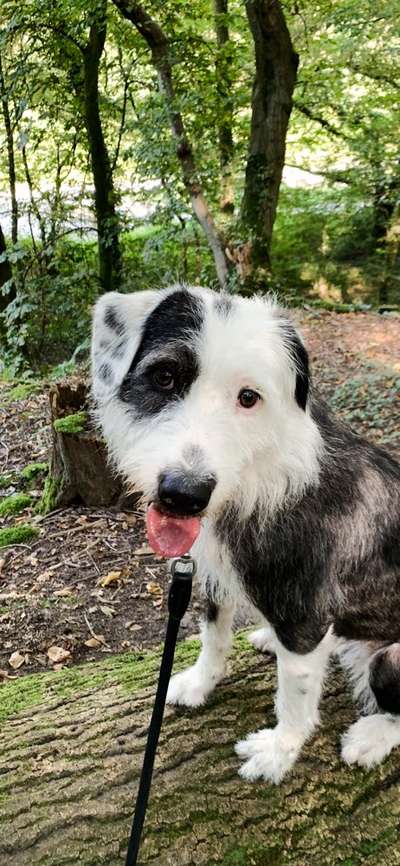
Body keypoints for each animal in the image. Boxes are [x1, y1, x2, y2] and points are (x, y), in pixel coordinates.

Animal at [91, 286, 400, 784]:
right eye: (164, 377)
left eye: (249, 397)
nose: (184, 495)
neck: (260, 476)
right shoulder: (214, 577)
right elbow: (213, 636)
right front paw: (200, 684)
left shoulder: (304, 615)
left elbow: (294, 699)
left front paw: (278, 752)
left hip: (392, 658)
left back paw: (370, 738)